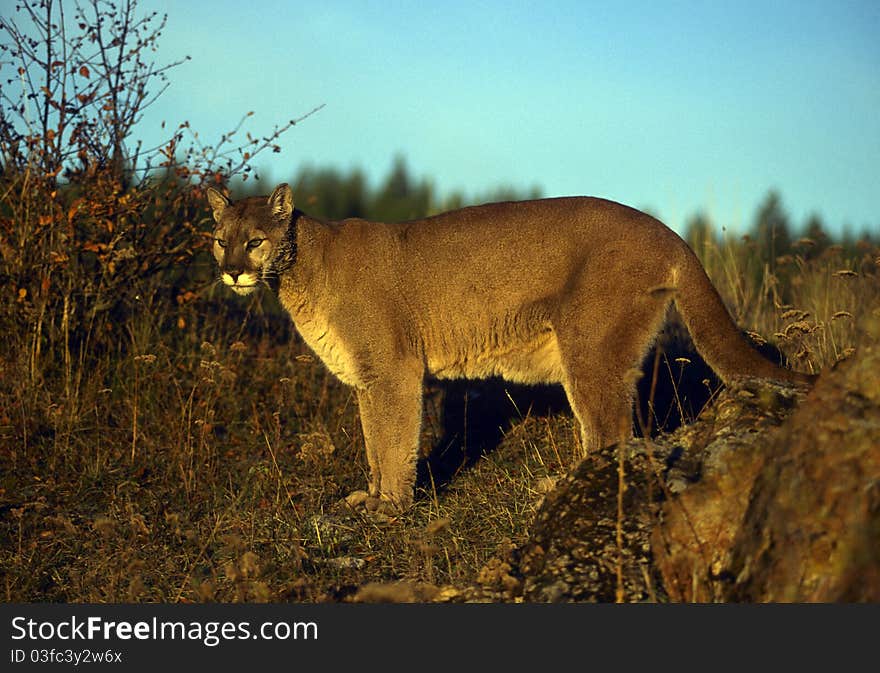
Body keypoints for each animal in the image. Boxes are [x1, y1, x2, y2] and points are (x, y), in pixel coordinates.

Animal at [205, 182, 812, 510]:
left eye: (254, 241)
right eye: (219, 239)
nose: (232, 271)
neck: (302, 269)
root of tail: (670, 232)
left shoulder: (394, 371)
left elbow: (394, 443)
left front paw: (390, 510)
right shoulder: (368, 380)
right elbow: (375, 445)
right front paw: (369, 498)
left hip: (589, 348)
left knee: (610, 432)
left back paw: (560, 491)